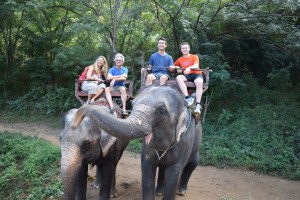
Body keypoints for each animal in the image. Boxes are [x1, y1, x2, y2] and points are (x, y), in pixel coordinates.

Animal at [72, 85, 203, 200]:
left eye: (162, 110)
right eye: (133, 104)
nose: (78, 114)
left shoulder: (184, 141)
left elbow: (173, 175)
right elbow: (147, 171)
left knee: (192, 164)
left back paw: (180, 191)